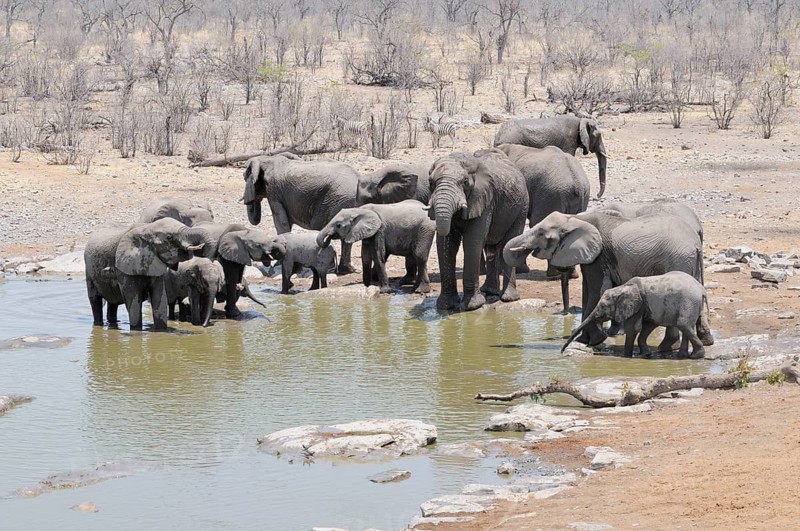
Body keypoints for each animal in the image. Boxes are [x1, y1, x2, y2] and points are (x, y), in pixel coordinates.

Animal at [429, 149, 529, 311]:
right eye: (431, 183)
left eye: (464, 182)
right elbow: (446, 244)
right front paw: (445, 306)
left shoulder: (484, 199)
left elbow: (472, 242)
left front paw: (472, 306)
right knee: (492, 249)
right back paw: (489, 292)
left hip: (521, 207)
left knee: (508, 243)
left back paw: (508, 298)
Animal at [496, 143, 591, 311]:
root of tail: (577, 184)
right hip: (577, 197)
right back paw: (570, 274)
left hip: (551, 195)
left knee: (538, 221)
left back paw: (554, 274)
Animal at [503, 210, 703, 348]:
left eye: (540, 234)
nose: (564, 314)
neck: (575, 218)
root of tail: (695, 243)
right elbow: (587, 290)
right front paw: (585, 340)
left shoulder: (599, 254)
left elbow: (596, 290)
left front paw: (594, 340)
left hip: (677, 260)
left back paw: (665, 348)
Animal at [562, 271, 713, 359]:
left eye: (603, 307)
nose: (562, 352)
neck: (622, 287)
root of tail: (702, 290)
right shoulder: (645, 305)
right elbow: (648, 325)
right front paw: (645, 354)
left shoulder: (638, 304)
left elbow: (633, 328)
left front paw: (627, 356)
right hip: (693, 305)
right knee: (687, 326)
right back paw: (683, 356)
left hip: (688, 302)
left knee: (684, 325)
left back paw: (696, 356)